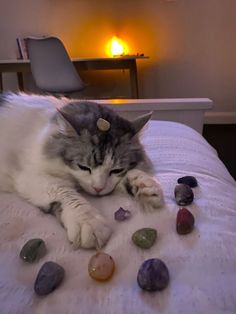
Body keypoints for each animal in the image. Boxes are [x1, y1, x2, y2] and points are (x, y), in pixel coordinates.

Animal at [0, 92, 164, 249]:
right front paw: (88, 222)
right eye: (83, 167)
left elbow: (130, 176)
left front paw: (145, 186)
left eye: (117, 170)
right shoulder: (31, 175)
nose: (98, 189)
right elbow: (66, 194)